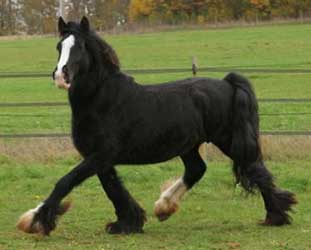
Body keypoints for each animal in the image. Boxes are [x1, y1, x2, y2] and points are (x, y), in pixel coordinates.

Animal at [16, 16, 298, 235]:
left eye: (81, 47)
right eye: (59, 46)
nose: (60, 76)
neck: (103, 99)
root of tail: (228, 83)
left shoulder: (100, 155)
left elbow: (66, 182)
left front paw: (35, 220)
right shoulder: (100, 158)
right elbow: (113, 188)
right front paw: (127, 223)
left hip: (227, 140)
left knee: (256, 170)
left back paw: (276, 216)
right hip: (189, 145)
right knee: (197, 169)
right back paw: (164, 207)